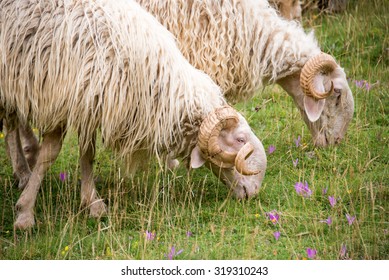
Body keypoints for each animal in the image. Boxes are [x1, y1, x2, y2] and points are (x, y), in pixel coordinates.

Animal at [0, 0, 266, 230]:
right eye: (240, 140)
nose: (254, 190)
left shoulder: (91, 104)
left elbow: (88, 154)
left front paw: (92, 203)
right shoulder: (64, 99)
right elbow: (50, 154)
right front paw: (25, 213)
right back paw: (23, 173)